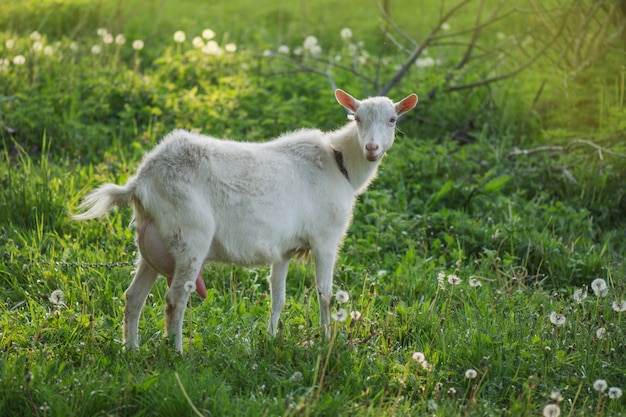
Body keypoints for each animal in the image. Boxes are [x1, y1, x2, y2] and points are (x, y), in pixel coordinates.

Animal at [73, 88, 414, 352]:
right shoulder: (326, 238)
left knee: (134, 297)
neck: (338, 163)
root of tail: (141, 181)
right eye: (357, 118)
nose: (372, 148)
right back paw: (177, 352)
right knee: (175, 297)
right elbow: (325, 294)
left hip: (152, 241)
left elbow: (278, 296)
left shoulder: (284, 250)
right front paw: (326, 340)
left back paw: (131, 348)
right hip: (190, 234)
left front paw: (271, 337)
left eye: (392, 120)